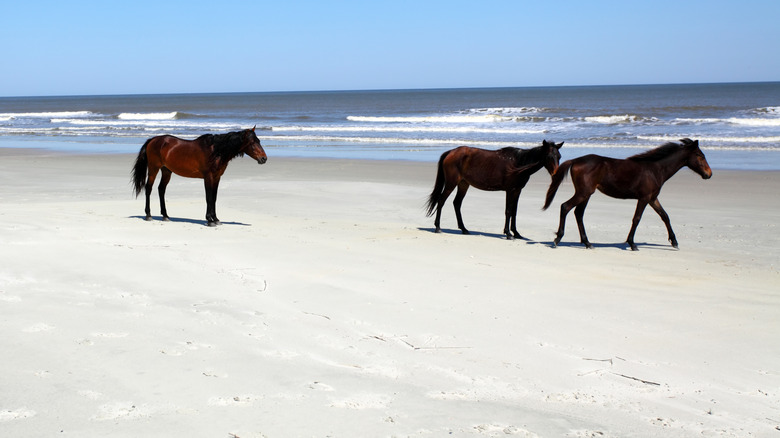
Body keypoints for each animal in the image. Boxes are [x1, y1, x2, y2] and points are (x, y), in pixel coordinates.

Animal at [132, 127, 267, 226]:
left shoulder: (217, 177)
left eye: (259, 141)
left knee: (161, 189)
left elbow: (214, 198)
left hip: (166, 171)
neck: (215, 151)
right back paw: (148, 215)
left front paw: (216, 219)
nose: (264, 158)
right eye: (252, 142)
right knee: (148, 188)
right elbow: (208, 198)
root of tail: (153, 140)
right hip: (154, 169)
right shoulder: (208, 177)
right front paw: (210, 220)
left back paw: (165, 216)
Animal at [425, 140, 563, 239]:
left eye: (559, 156)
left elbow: (514, 211)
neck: (519, 163)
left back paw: (464, 229)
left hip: (463, 184)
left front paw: (516, 233)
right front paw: (508, 234)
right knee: (441, 201)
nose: (556, 174)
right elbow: (508, 211)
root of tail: (451, 152)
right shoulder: (510, 190)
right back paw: (438, 227)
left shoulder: (517, 190)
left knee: (457, 203)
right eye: (549, 156)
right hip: (451, 183)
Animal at [542, 138, 712, 250]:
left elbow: (665, 216)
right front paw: (632, 243)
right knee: (565, 207)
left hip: (586, 194)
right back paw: (557, 239)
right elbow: (637, 219)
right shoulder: (644, 198)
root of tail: (575, 160)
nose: (709, 174)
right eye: (700, 155)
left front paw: (674, 242)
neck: (655, 169)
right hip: (583, 193)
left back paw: (587, 243)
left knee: (578, 213)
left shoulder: (653, 198)